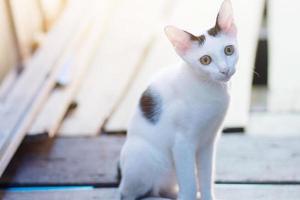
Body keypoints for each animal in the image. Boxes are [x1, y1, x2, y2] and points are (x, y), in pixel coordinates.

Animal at [118, 0, 238, 199]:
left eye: (229, 50)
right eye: (205, 60)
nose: (224, 70)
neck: (210, 90)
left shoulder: (208, 142)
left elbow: (205, 177)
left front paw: (207, 195)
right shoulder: (182, 143)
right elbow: (189, 182)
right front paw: (190, 194)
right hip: (142, 156)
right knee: (125, 193)